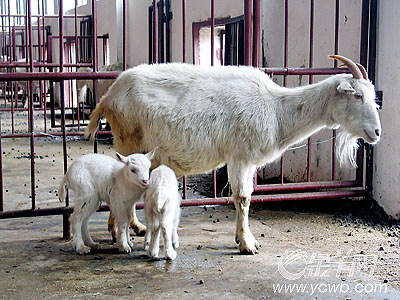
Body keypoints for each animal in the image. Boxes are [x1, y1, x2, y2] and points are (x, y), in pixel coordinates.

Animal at [85, 55, 382, 254]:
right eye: (357, 95)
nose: (377, 132)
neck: (276, 110)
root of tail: (108, 97)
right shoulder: (240, 155)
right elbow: (242, 198)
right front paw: (247, 244)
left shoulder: (248, 161)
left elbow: (247, 197)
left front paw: (244, 238)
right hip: (128, 138)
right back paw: (118, 229)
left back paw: (133, 227)